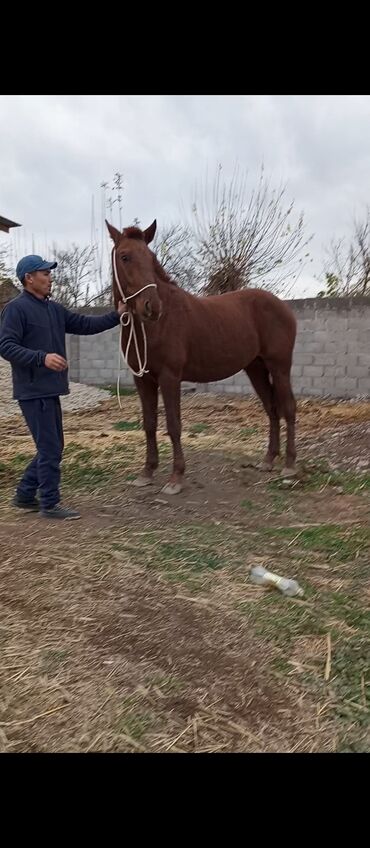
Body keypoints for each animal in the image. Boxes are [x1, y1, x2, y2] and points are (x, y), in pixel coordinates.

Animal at [105, 220, 296, 496]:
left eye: (151, 258)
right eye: (125, 257)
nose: (152, 307)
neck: (154, 326)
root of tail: (282, 306)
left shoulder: (170, 377)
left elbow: (173, 425)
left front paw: (176, 478)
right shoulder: (143, 379)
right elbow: (149, 424)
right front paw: (147, 472)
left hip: (280, 367)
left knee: (289, 408)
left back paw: (290, 466)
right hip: (256, 369)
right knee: (272, 409)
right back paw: (268, 460)